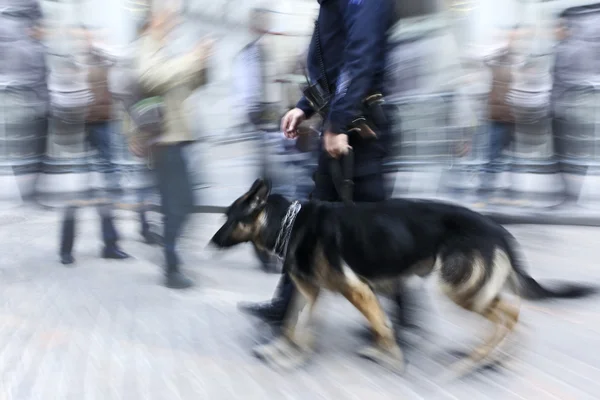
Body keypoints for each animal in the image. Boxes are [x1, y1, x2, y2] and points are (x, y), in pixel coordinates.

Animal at [211, 180, 596, 380]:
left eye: (229, 217)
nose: (210, 242)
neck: (289, 223)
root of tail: (499, 229)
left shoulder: (358, 291)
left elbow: (382, 327)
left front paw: (393, 360)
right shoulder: (311, 292)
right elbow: (295, 325)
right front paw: (288, 355)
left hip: (457, 288)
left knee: (509, 316)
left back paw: (472, 362)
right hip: (471, 290)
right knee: (512, 316)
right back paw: (492, 358)